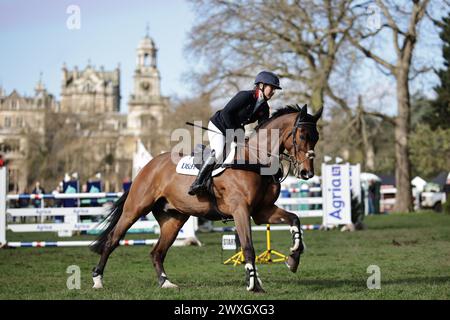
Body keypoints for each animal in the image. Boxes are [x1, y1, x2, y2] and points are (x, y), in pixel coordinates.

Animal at [91, 104, 322, 292]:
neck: (256, 160)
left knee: (157, 252)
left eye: (316, 137)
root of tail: (148, 166)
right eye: (302, 136)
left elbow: (294, 219)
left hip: (173, 219)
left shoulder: (261, 211)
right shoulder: (241, 210)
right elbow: (248, 247)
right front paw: (254, 285)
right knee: (113, 240)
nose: (307, 173)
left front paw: (293, 258)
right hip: (135, 209)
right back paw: (97, 280)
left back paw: (166, 282)